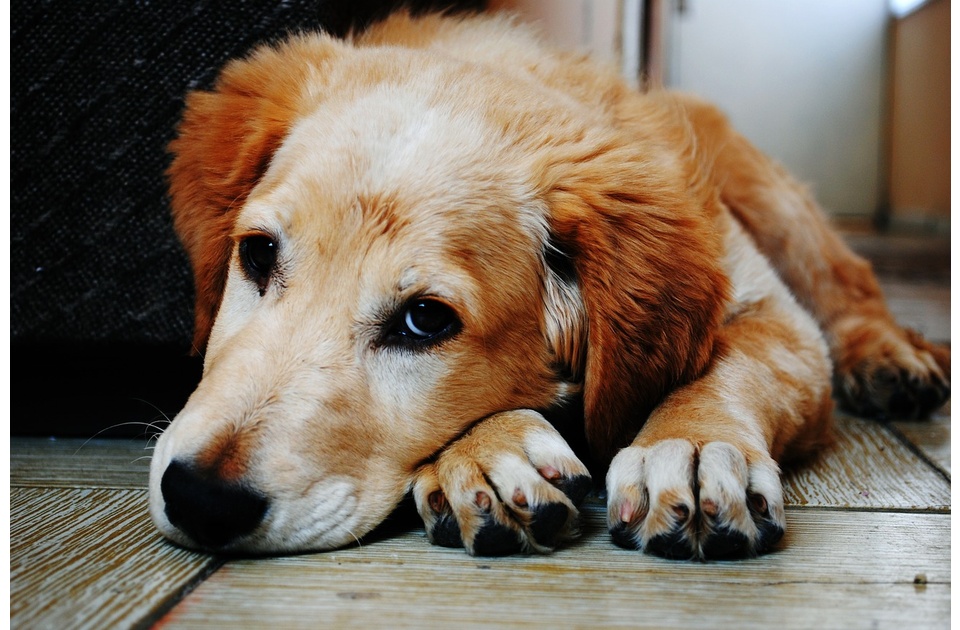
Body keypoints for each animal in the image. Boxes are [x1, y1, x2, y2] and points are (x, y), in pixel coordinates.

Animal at [148, 11, 944, 564]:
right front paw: (489, 453)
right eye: (257, 254)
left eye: (426, 321)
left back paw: (890, 359)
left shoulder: (775, 317)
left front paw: (689, 445)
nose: (199, 499)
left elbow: (730, 366)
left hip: (773, 201)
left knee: (851, 285)